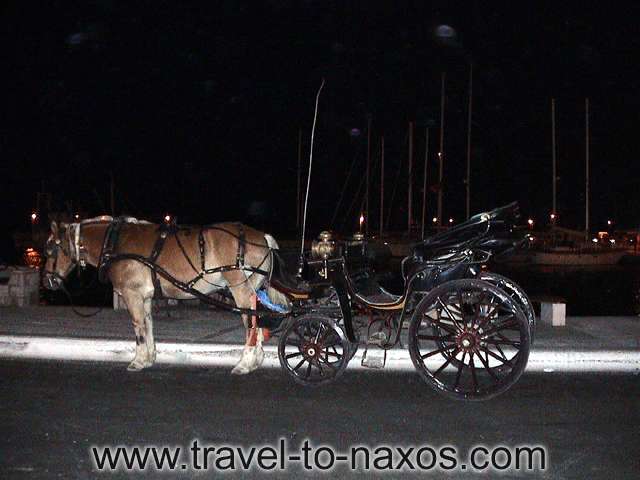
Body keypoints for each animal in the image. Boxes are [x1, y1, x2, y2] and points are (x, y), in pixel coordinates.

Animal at [41, 217, 288, 376]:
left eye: (49, 250)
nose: (46, 282)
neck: (115, 243)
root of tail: (262, 237)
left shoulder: (132, 294)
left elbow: (138, 326)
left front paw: (138, 360)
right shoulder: (145, 296)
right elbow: (148, 324)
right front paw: (150, 357)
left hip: (240, 288)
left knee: (249, 321)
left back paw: (244, 363)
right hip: (253, 288)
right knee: (256, 319)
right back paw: (255, 360)